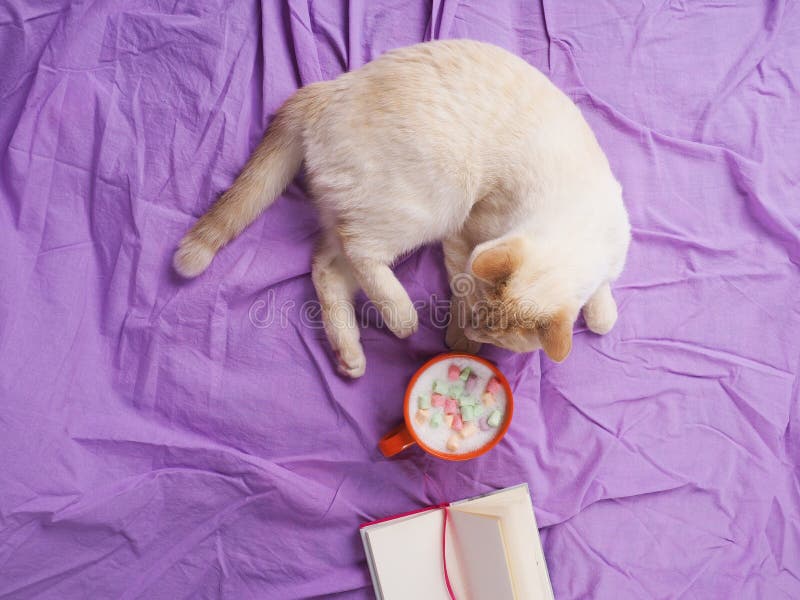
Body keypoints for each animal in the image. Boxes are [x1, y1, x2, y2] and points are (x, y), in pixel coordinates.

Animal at [173, 39, 631, 378]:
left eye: (495, 335)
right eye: (479, 319)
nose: (473, 330)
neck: (573, 222)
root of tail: (329, 89)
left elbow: (602, 301)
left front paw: (601, 312)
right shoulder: (465, 237)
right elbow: (458, 285)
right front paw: (459, 340)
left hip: (361, 209)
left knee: (327, 267)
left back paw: (350, 356)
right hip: (436, 200)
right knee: (360, 250)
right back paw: (401, 316)